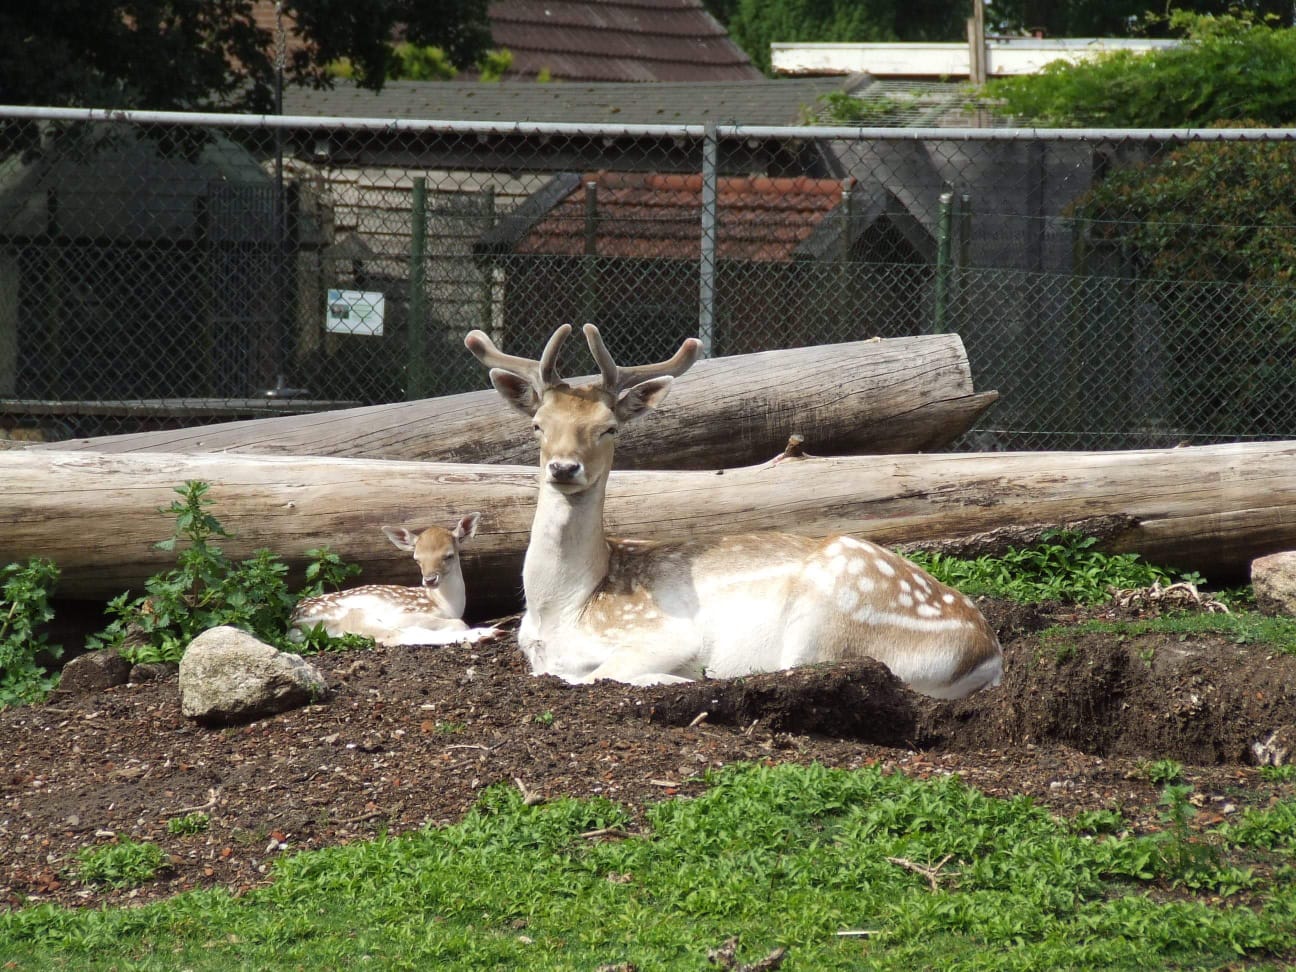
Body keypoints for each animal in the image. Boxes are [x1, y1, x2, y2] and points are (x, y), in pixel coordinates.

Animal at [289, 513, 495, 650]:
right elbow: (459, 622)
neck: (446, 605)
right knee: (392, 637)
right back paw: (487, 634)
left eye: (449, 555)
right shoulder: (403, 612)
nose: (429, 580)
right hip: (350, 613)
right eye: (416, 559)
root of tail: (293, 623)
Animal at [466, 327, 1000, 699]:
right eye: (538, 425)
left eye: (609, 428)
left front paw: (677, 680)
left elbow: (598, 675)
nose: (563, 467)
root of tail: (987, 652)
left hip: (828, 619)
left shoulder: (665, 633)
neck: (563, 607)